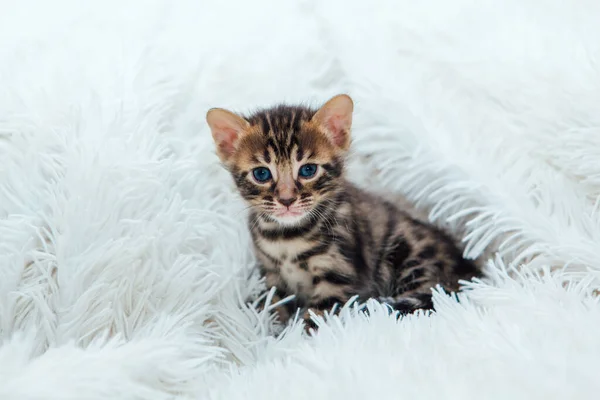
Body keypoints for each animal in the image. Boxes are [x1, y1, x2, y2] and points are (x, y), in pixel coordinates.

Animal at [206, 94, 478, 332]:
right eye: (261, 174)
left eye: (308, 170)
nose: (286, 200)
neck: (287, 238)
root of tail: (469, 274)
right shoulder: (271, 274)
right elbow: (271, 307)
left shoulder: (338, 277)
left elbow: (313, 319)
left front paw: (288, 345)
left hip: (413, 258)